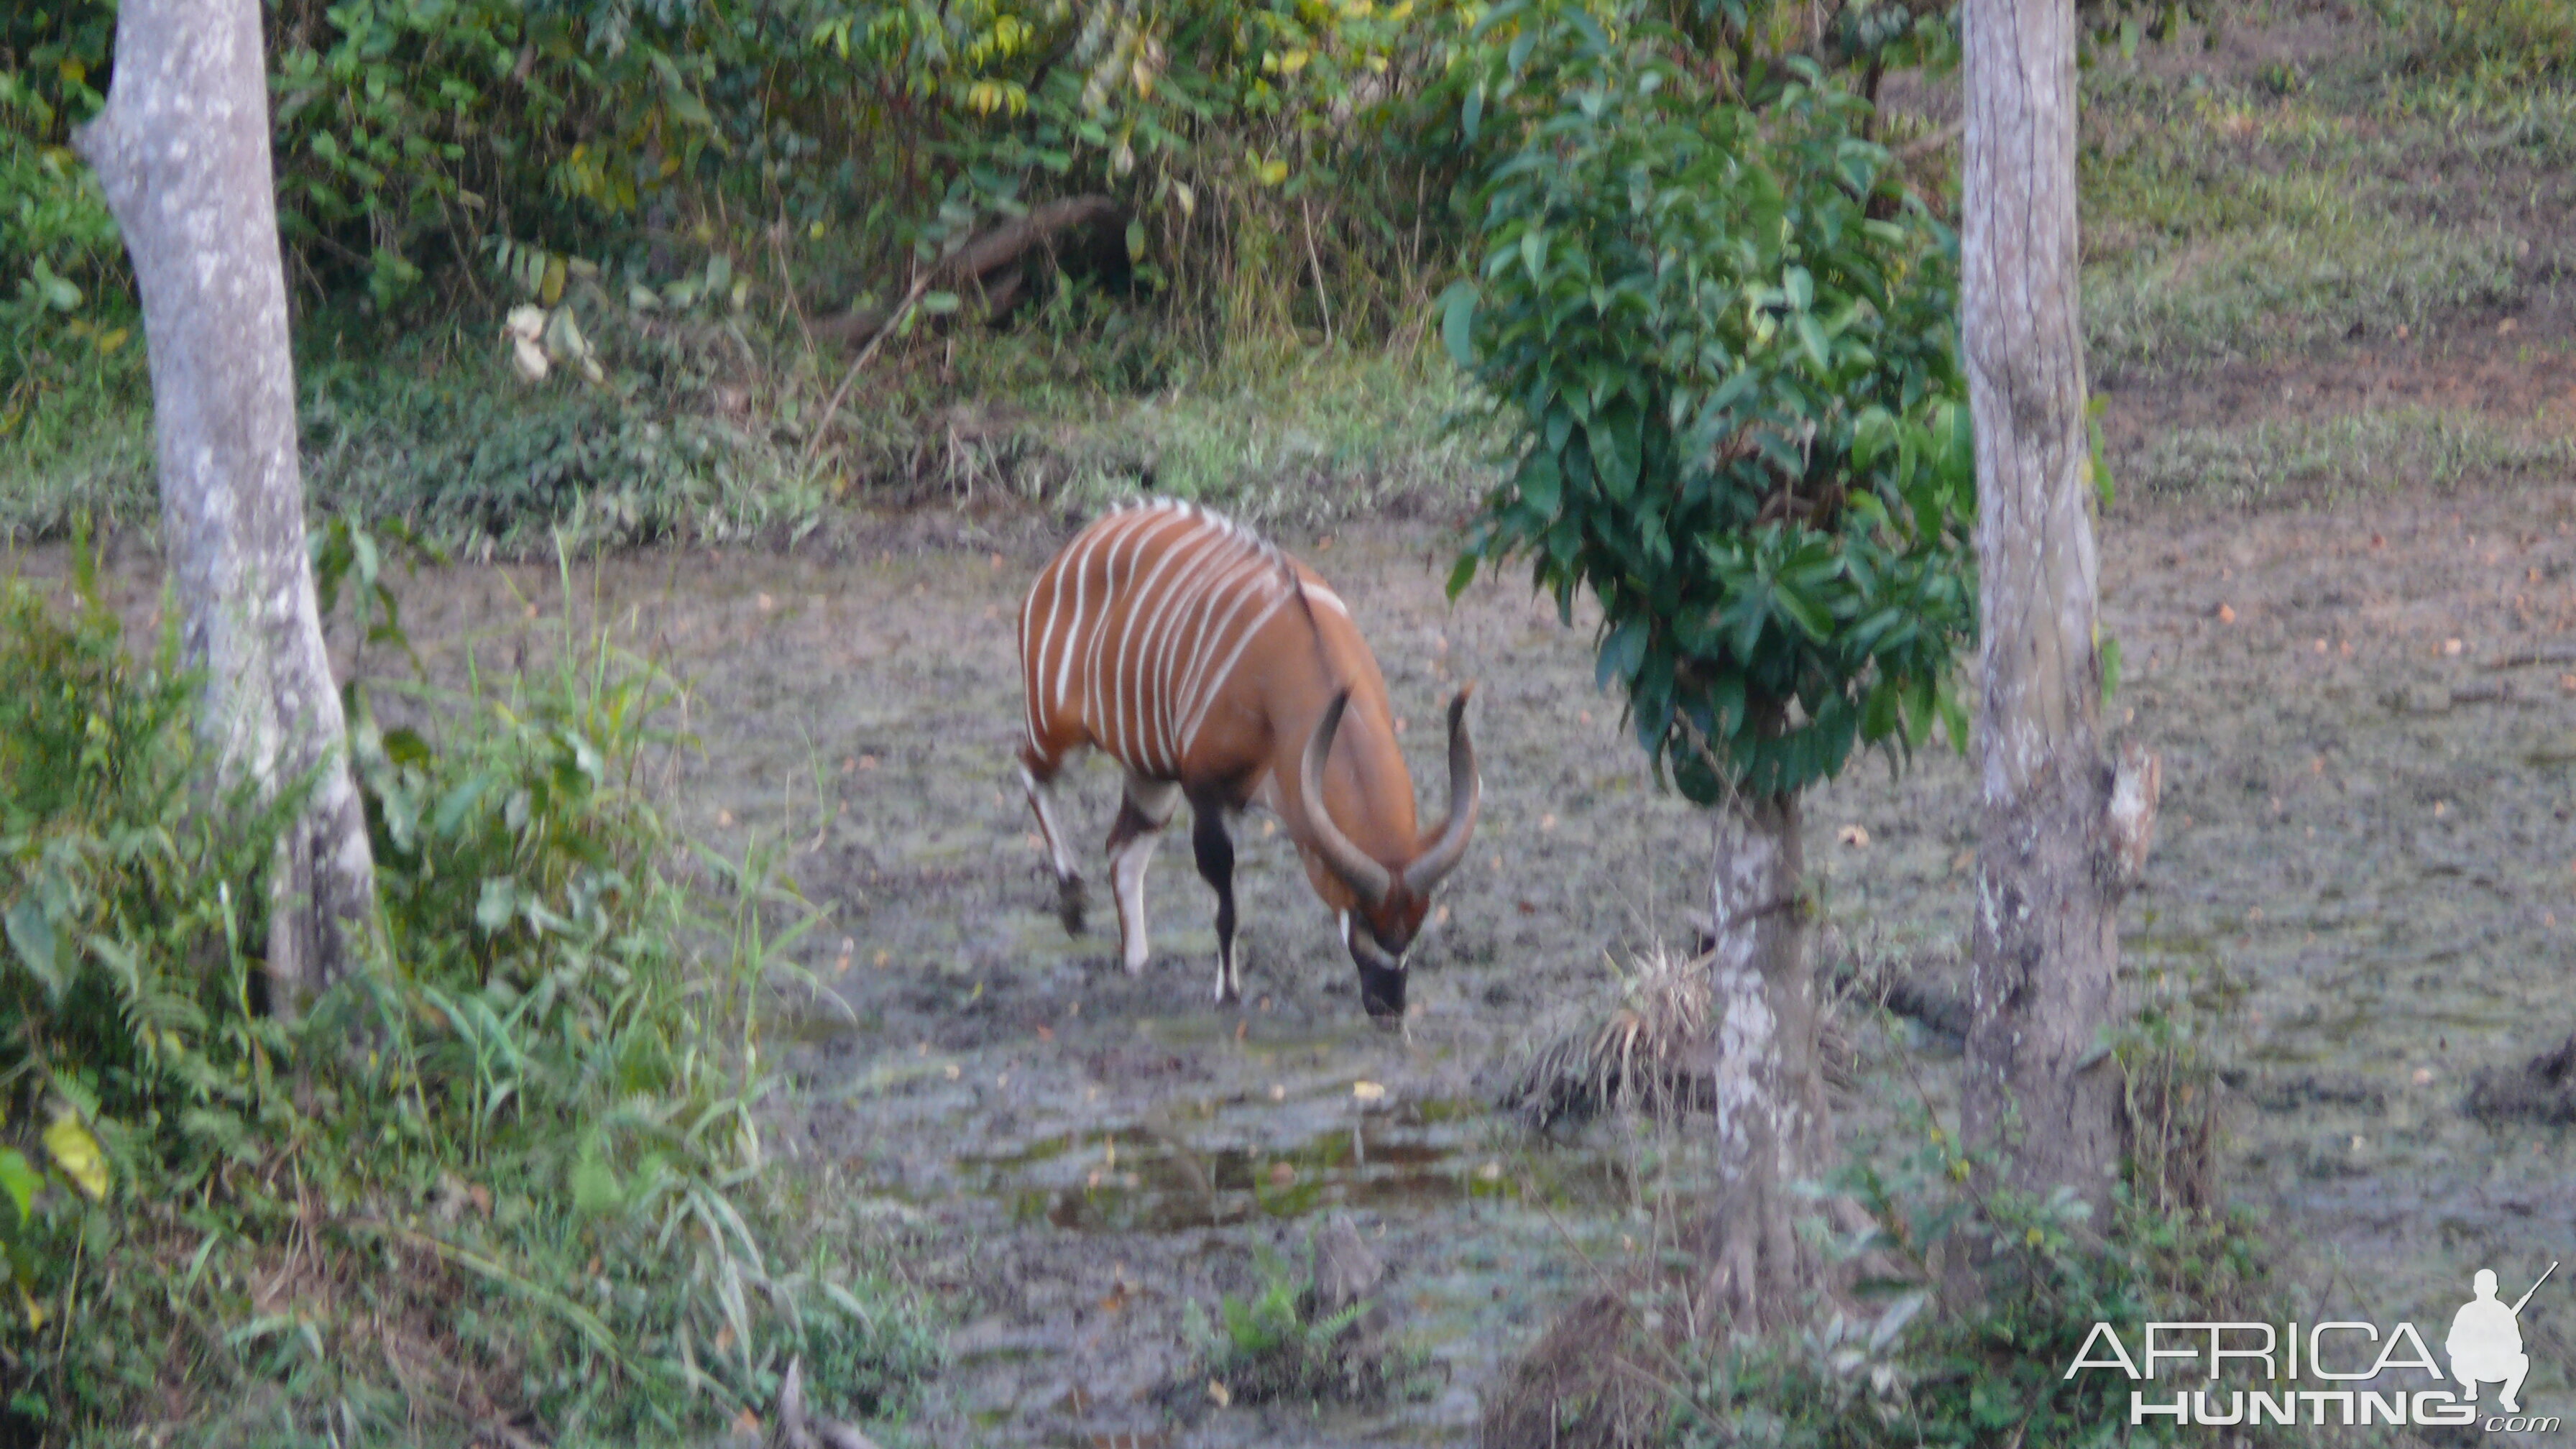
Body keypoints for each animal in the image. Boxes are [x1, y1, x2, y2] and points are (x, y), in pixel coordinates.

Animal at [1015, 500, 1484, 1016]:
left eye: (1416, 923)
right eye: (1360, 916)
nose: (1389, 1006)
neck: (1293, 666)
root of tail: (1065, 556)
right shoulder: (1203, 788)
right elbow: (1224, 899)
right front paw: (1229, 991)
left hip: (1150, 770)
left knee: (1123, 848)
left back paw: (1136, 963)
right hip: (1061, 730)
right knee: (1031, 770)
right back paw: (1073, 905)